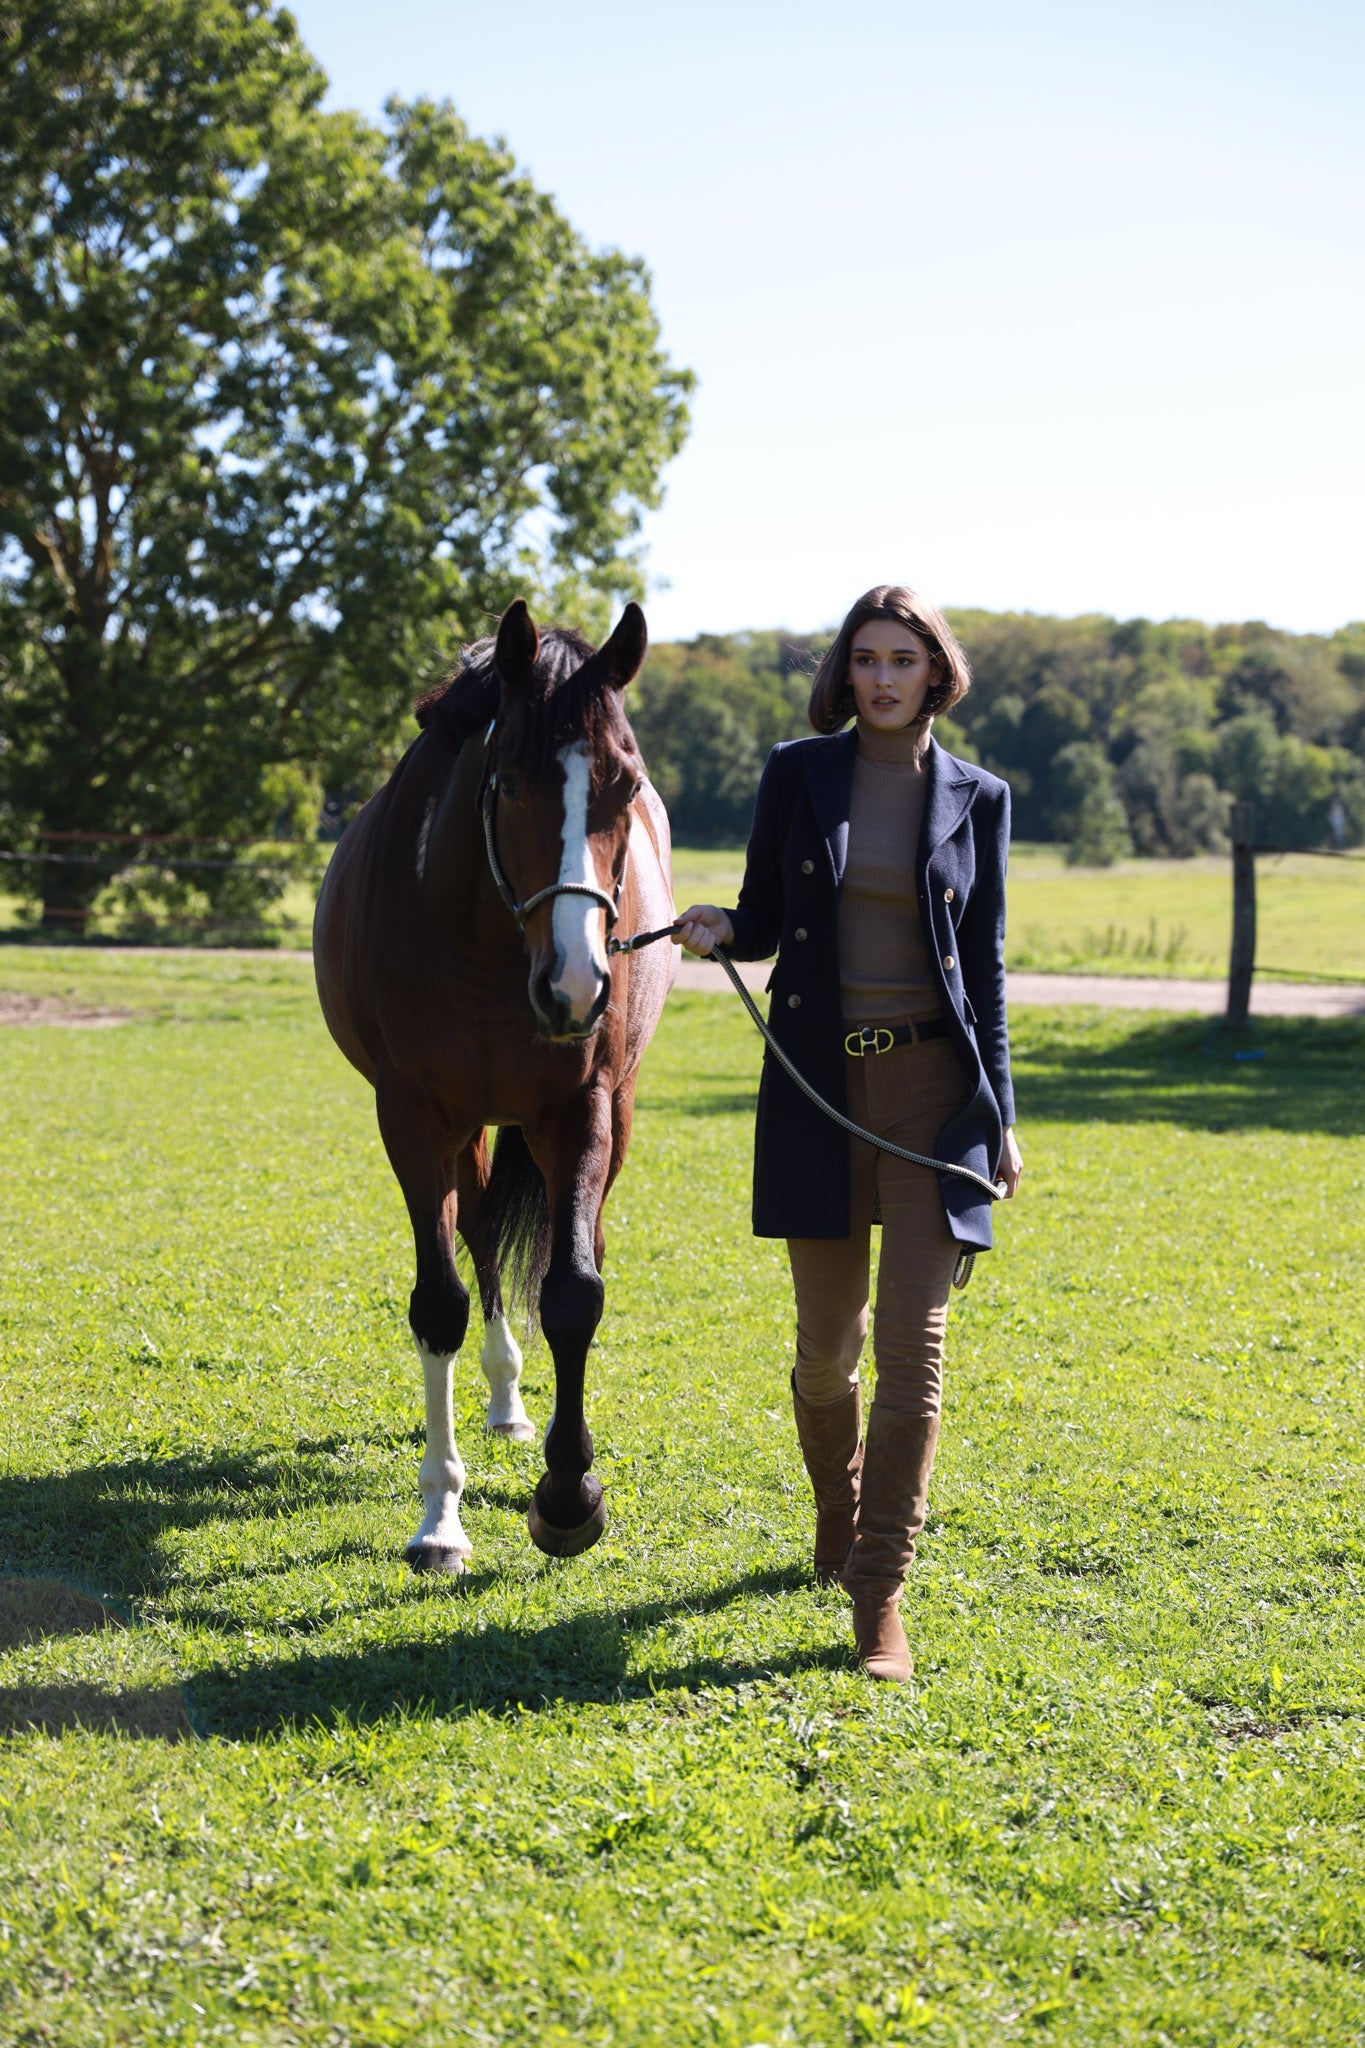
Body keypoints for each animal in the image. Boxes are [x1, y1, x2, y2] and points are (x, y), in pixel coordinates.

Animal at [311, 602, 671, 1564]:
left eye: (627, 785)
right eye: (508, 784)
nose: (576, 985)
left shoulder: (580, 1111)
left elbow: (574, 1294)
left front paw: (570, 1496)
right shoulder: (412, 1116)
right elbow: (440, 1302)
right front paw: (439, 1517)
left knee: (570, 1246)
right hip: (467, 1129)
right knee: (475, 1235)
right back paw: (505, 1399)